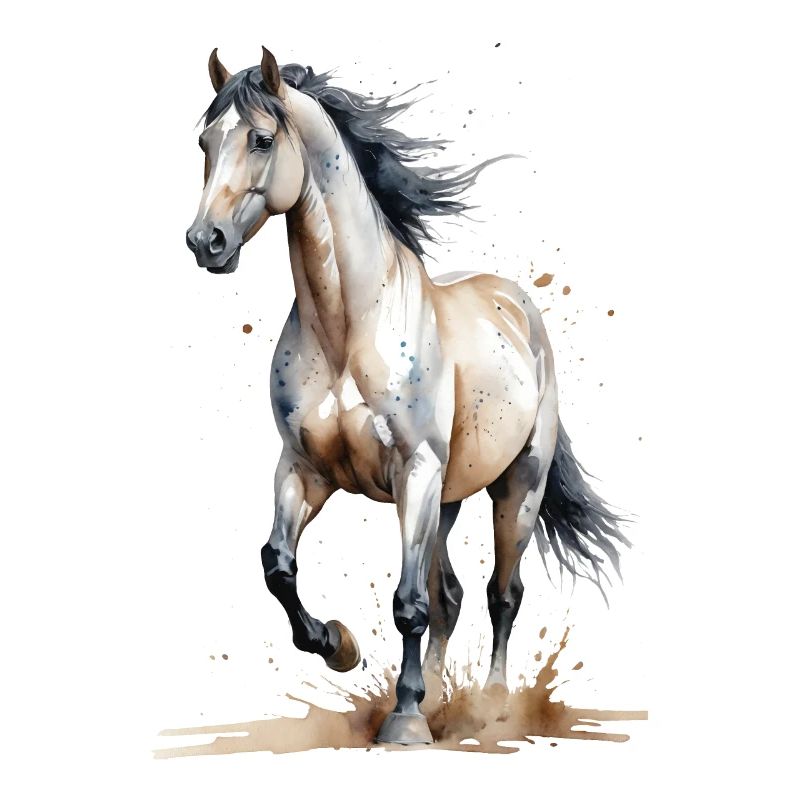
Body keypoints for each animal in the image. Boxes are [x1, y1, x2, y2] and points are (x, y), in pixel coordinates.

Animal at [185, 47, 630, 745]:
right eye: (204, 141)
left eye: (260, 139)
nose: (206, 242)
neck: (349, 328)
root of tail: (517, 305)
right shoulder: (305, 470)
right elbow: (278, 566)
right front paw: (339, 646)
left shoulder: (414, 471)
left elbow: (408, 604)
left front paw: (405, 719)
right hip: (446, 498)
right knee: (450, 597)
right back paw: (442, 698)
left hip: (515, 486)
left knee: (502, 593)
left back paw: (489, 705)